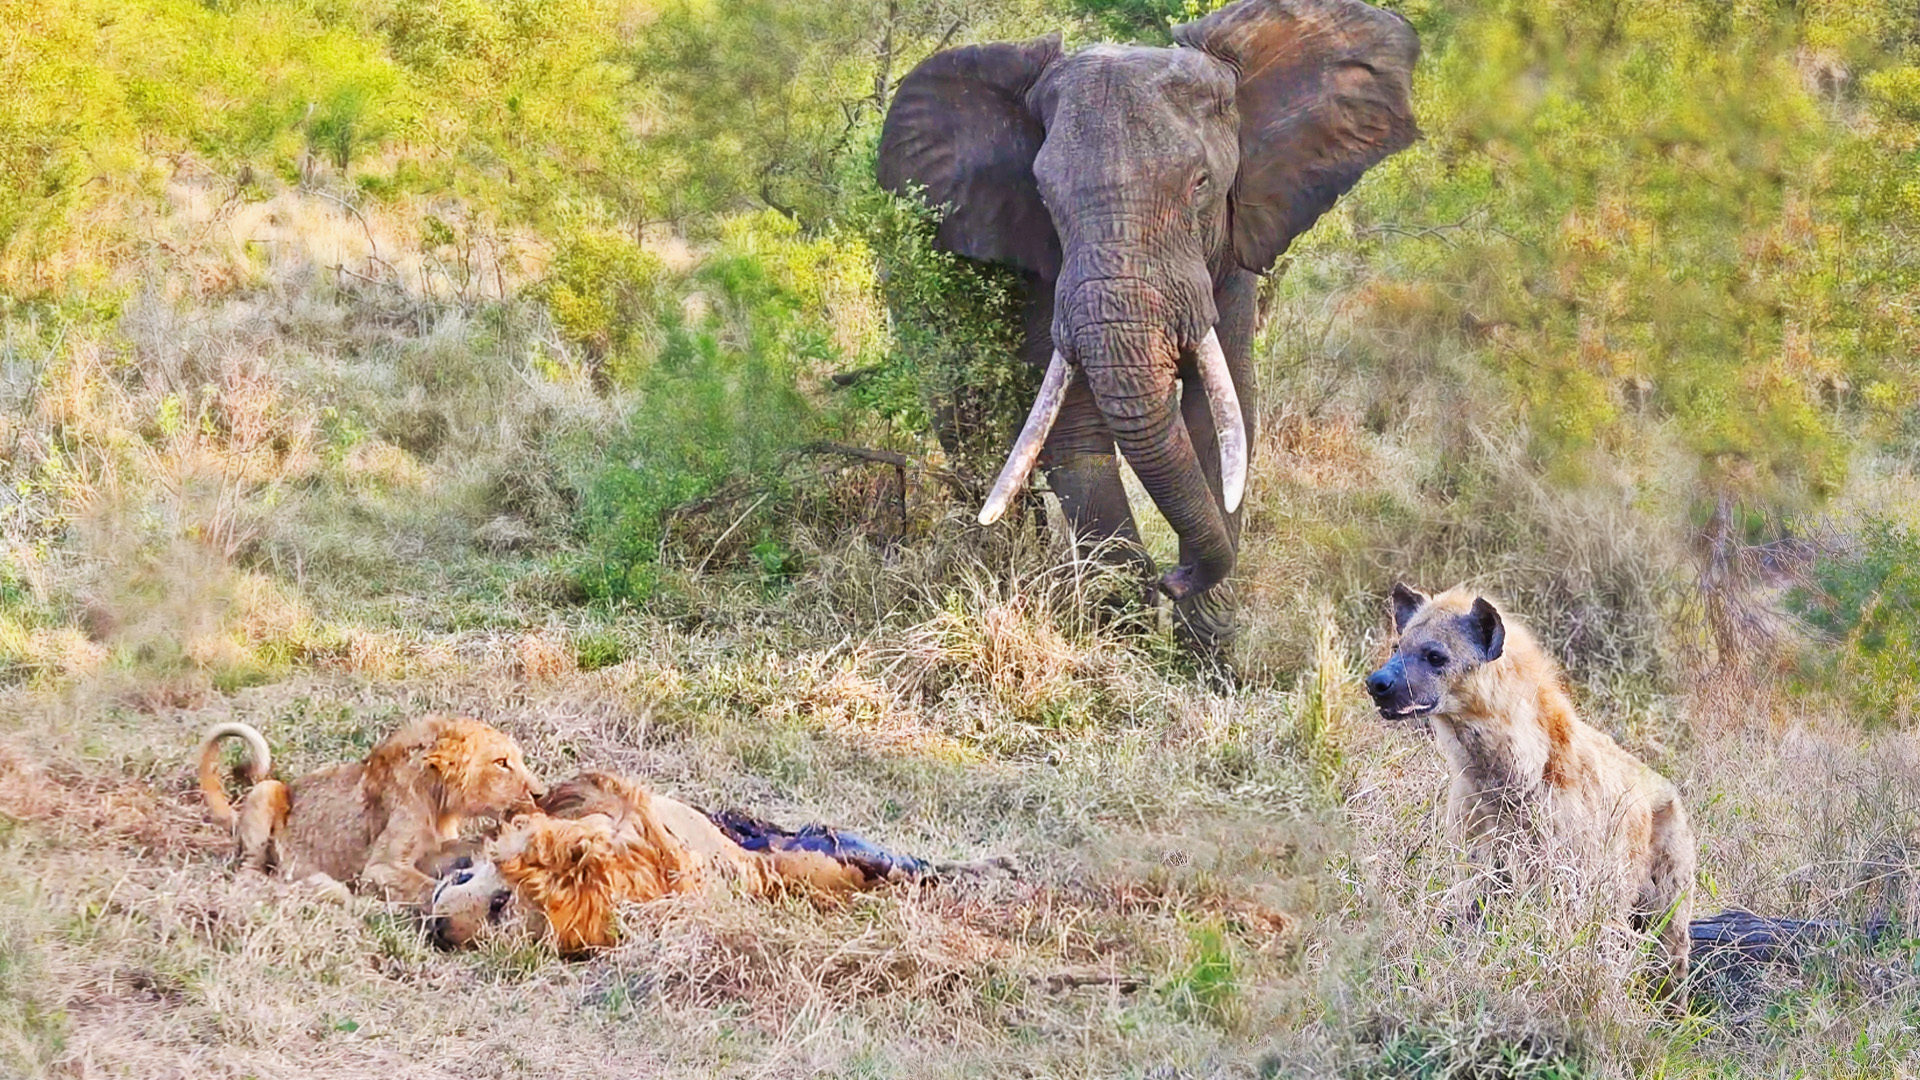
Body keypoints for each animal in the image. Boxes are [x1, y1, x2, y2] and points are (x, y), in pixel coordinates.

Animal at [197, 715, 546, 905]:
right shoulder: (380, 867)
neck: (439, 803)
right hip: (266, 790)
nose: (540, 793)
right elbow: (426, 886)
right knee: (250, 874)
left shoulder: (437, 848)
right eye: (501, 763)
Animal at [877, 0, 1419, 661]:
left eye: (1201, 185)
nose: (1173, 577)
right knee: (966, 424)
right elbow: (1077, 433)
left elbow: (1222, 416)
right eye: (1044, 196)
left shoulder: (1229, 254)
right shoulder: (1048, 272)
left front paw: (1207, 658)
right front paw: (1128, 644)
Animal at [1363, 584, 1695, 1000]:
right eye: (1397, 647)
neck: (1505, 777)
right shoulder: (1475, 854)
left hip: (1667, 880)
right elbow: (1468, 920)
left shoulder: (1568, 869)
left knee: (1669, 949)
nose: (1377, 683)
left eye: (1435, 656)